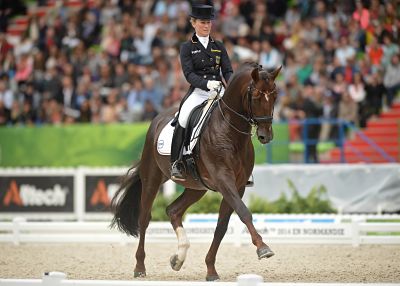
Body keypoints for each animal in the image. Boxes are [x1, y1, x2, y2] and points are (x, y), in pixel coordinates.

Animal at [110, 61, 282, 280]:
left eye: (275, 95)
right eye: (257, 96)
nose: (265, 136)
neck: (230, 131)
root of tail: (157, 119)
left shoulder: (238, 185)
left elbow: (221, 226)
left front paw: (211, 270)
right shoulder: (223, 179)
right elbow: (244, 212)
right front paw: (262, 248)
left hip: (196, 187)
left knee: (173, 210)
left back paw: (178, 258)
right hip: (152, 179)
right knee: (144, 218)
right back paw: (140, 267)